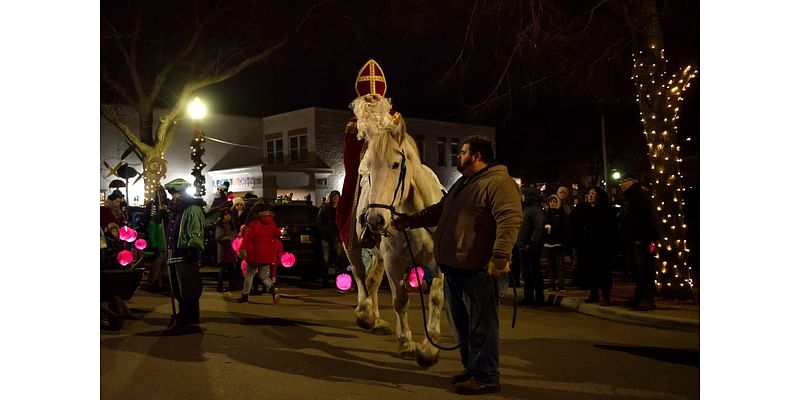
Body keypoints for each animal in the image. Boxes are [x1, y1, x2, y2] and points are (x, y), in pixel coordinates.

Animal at [342, 117, 446, 368]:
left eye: (396, 165)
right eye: (367, 169)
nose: (374, 220)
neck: (416, 217)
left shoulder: (437, 264)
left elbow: (436, 299)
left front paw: (430, 349)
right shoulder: (393, 262)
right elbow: (400, 300)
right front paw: (406, 342)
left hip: (378, 256)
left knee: (372, 280)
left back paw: (377, 319)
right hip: (353, 247)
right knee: (360, 276)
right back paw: (366, 314)